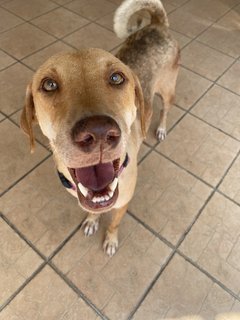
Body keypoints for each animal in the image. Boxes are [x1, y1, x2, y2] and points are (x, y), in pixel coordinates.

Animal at [20, 0, 179, 255]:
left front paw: (111, 240)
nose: (98, 133)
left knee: (164, 109)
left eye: (117, 77)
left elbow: (114, 223)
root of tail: (157, 24)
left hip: (168, 89)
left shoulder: (123, 201)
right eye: (49, 84)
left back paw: (162, 128)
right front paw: (92, 222)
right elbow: (93, 211)